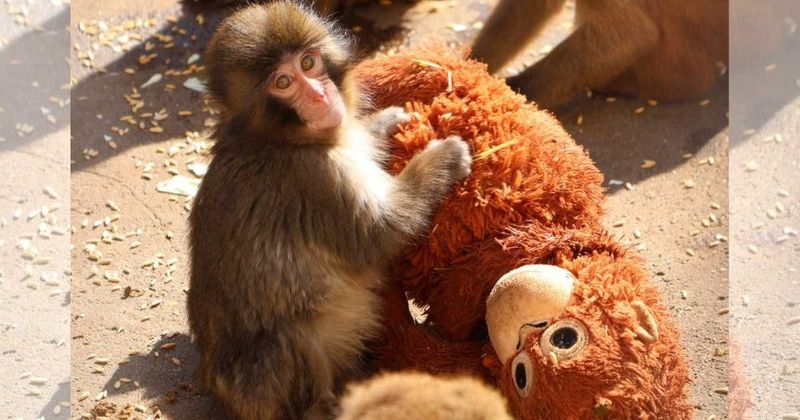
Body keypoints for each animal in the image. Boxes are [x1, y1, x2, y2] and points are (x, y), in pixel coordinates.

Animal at [187, 2, 472, 419]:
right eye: (283, 82)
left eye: (308, 63)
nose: (320, 96)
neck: (279, 139)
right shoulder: (317, 179)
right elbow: (379, 234)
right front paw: (443, 158)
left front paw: (384, 123)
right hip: (259, 389)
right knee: (287, 338)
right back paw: (328, 403)